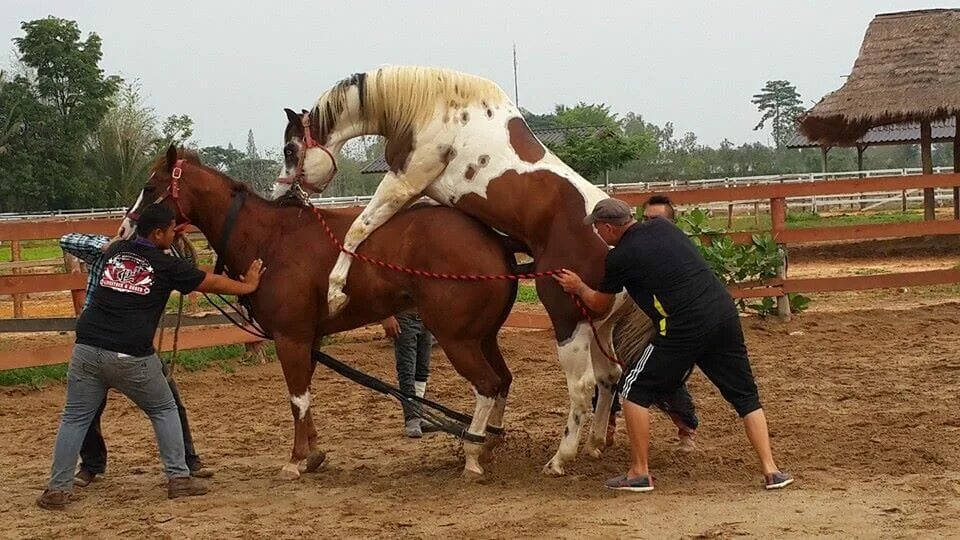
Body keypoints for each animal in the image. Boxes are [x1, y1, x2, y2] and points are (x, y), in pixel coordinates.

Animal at [124, 146, 524, 478]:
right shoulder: (308, 338)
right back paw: (489, 443)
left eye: (149, 185)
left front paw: (296, 460)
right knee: (503, 380)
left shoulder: (290, 338)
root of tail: (494, 241)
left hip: (458, 339)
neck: (271, 239)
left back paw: (473, 455)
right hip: (483, 337)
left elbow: (297, 399)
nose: (126, 226)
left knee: (488, 385)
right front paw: (313, 454)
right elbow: (305, 396)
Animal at [274, 66, 640, 472]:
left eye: (290, 150)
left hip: (568, 324)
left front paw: (336, 290)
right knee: (609, 378)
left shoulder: (405, 180)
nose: (281, 194)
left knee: (581, 387)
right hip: (600, 328)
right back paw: (594, 444)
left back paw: (559, 459)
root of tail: (619, 245)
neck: (431, 108)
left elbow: (359, 227)